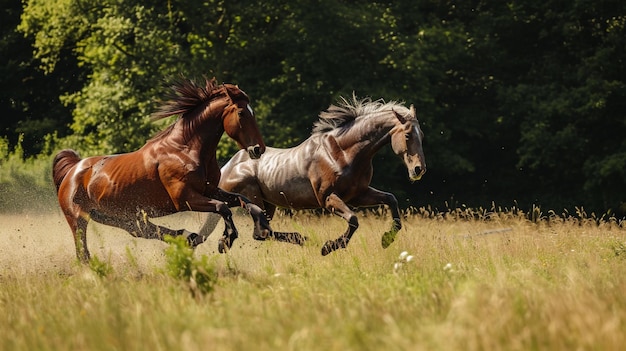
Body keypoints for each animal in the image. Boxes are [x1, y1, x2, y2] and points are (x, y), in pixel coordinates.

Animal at [54, 77, 276, 264]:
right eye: (241, 113)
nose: (259, 149)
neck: (184, 149)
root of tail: (73, 170)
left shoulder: (210, 190)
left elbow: (244, 201)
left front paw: (261, 230)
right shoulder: (185, 199)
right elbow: (223, 208)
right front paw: (226, 241)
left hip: (114, 216)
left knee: (141, 230)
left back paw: (187, 237)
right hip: (78, 220)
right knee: (83, 252)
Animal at [217, 96, 426, 256]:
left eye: (421, 135)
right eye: (408, 135)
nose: (419, 170)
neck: (342, 153)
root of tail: (226, 169)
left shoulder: (358, 195)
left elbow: (391, 200)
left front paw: (387, 239)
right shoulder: (328, 198)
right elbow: (353, 219)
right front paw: (329, 247)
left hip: (268, 204)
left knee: (257, 231)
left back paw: (224, 242)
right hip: (252, 199)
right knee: (261, 232)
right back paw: (303, 239)